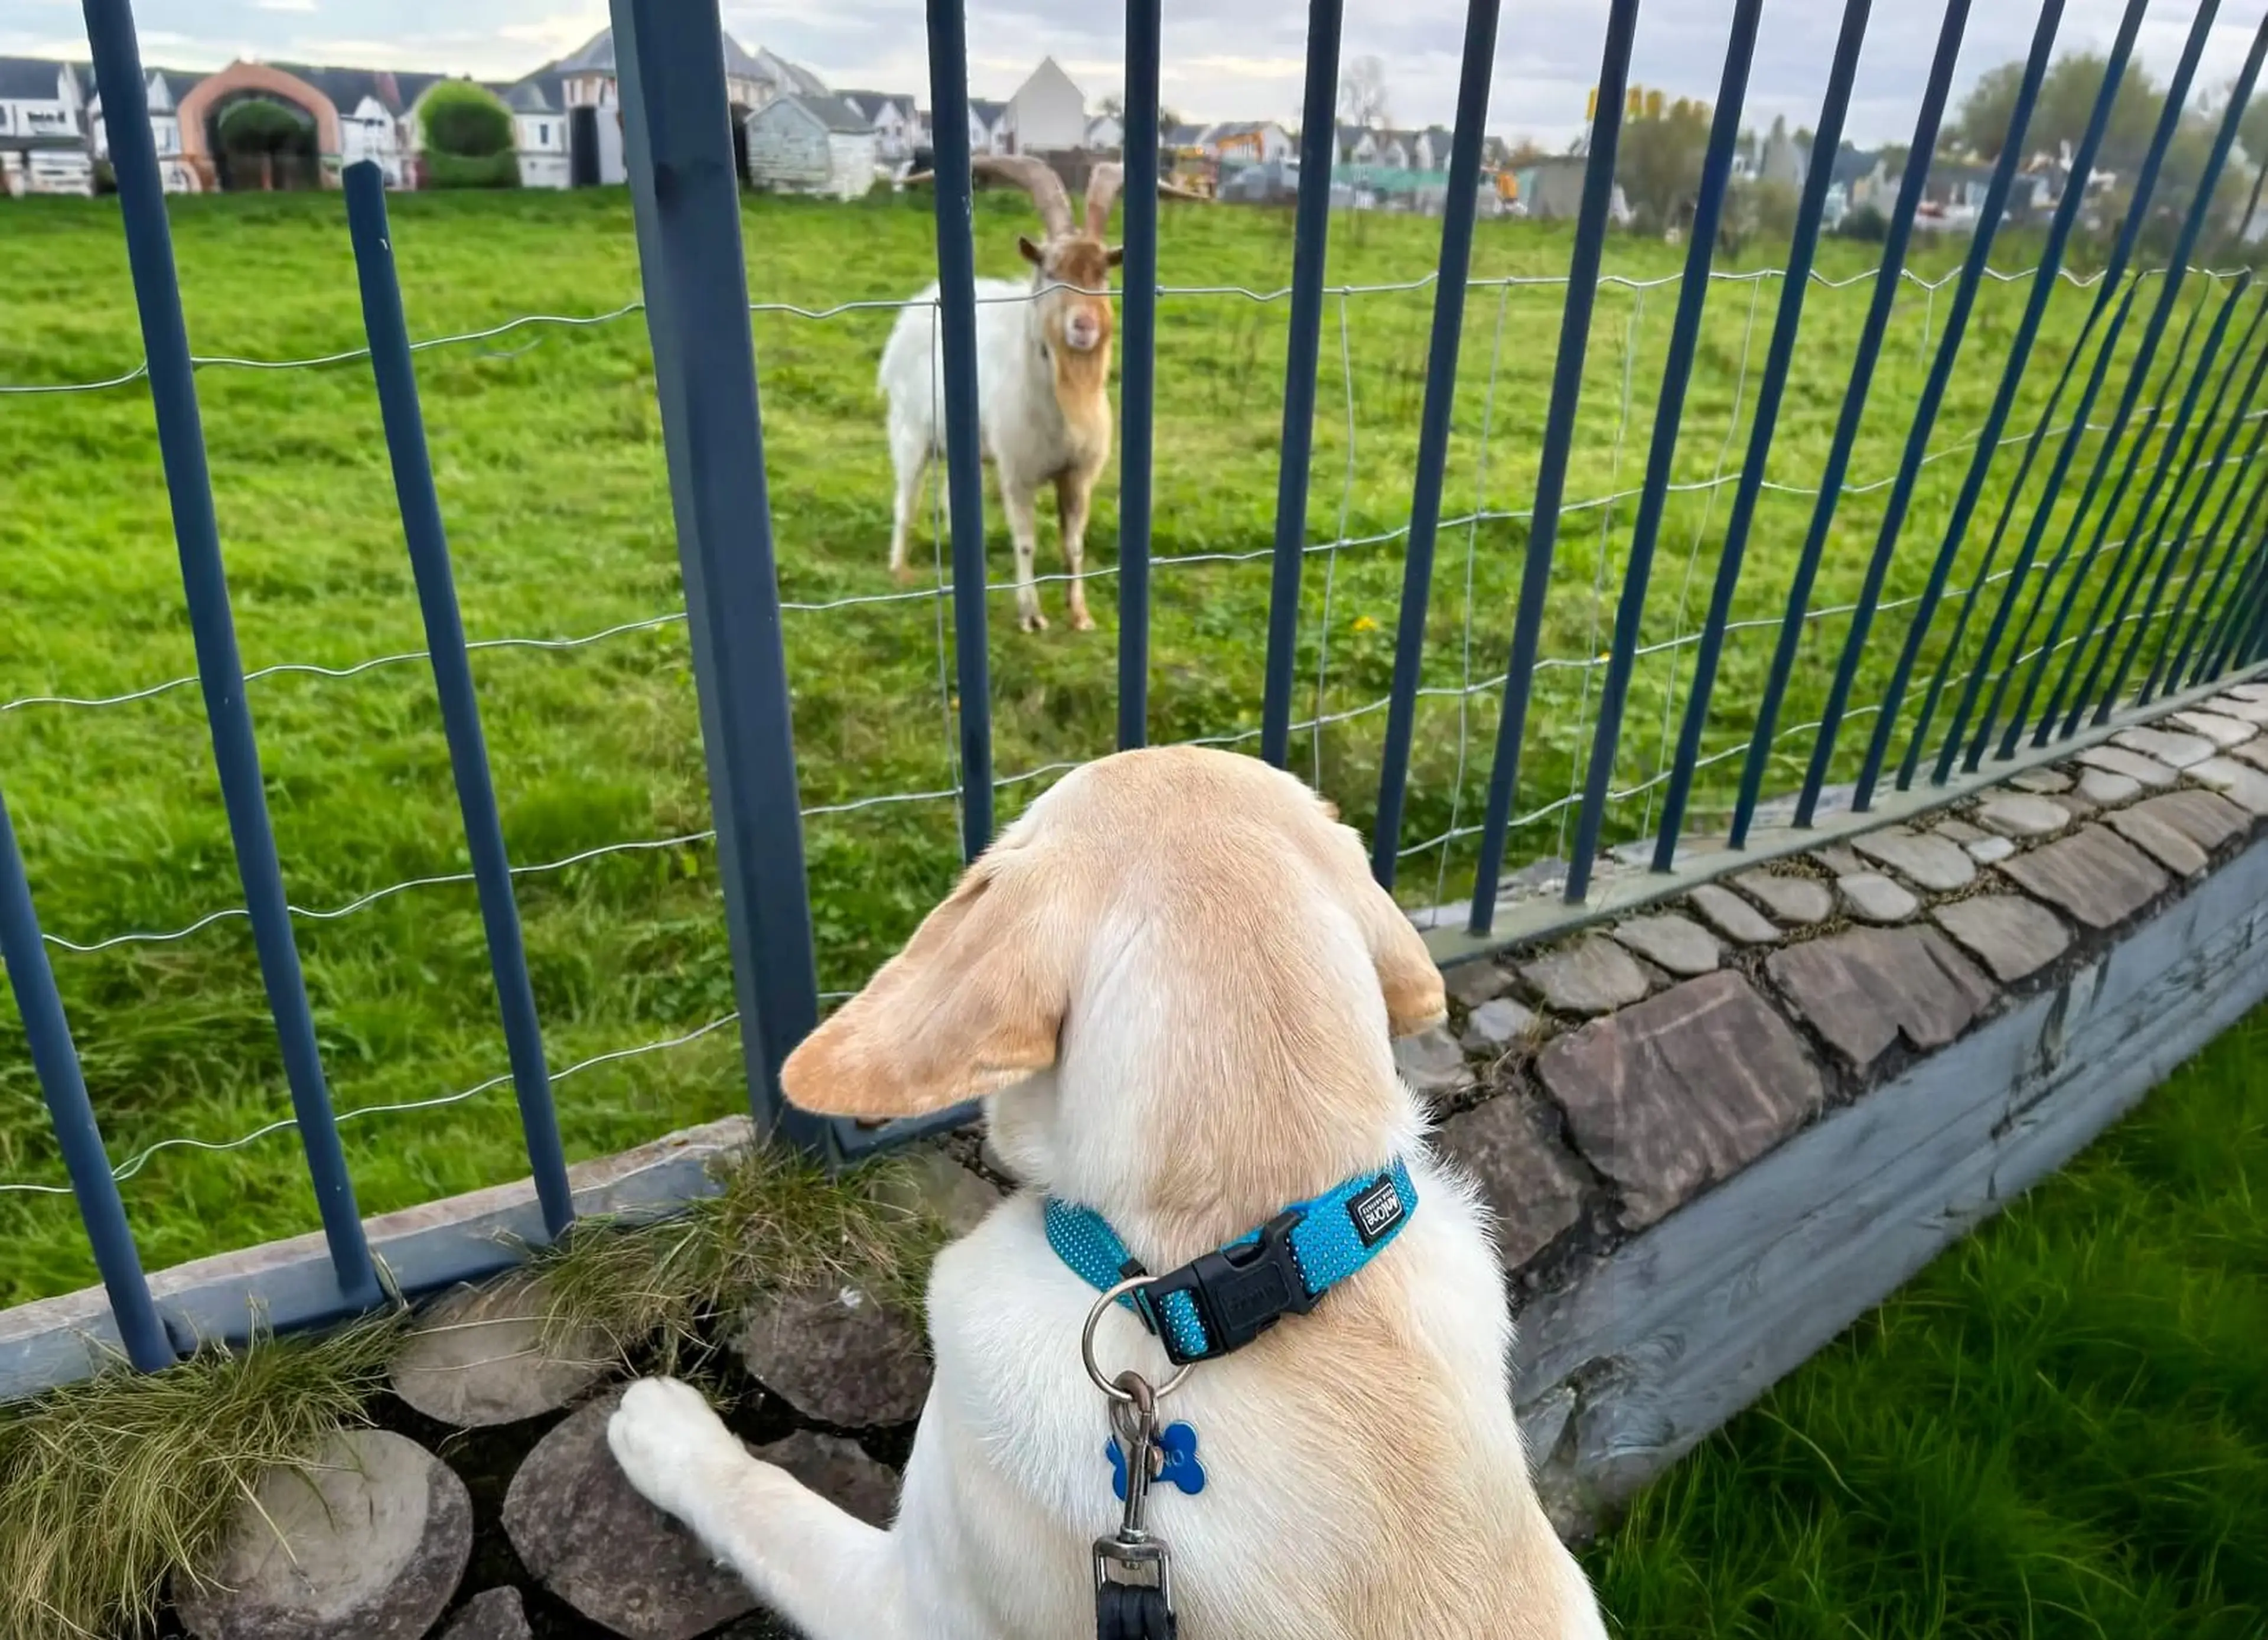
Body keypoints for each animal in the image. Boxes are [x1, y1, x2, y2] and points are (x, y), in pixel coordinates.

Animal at [879, 157, 1133, 633]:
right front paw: (1031, 616)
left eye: (1102, 273)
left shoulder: (1078, 475)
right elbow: (1027, 542)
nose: (1084, 326)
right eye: (1050, 271)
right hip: (909, 431)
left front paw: (1080, 615)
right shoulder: (1018, 472)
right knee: (906, 497)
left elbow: (1074, 544)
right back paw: (898, 569)